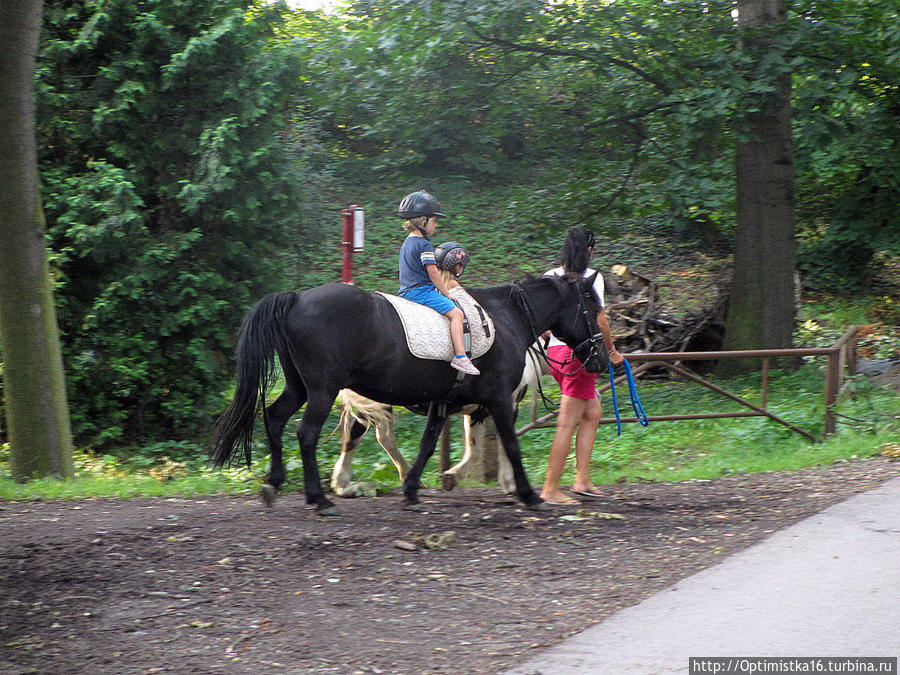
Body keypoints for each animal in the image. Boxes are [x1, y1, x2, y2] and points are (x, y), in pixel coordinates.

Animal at [210, 272, 604, 516]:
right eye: (593, 309)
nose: (600, 359)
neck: (504, 319)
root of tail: (296, 299)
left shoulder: (446, 402)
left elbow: (429, 444)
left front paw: (413, 490)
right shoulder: (498, 401)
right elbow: (510, 444)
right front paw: (527, 494)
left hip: (300, 387)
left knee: (276, 419)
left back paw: (275, 483)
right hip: (322, 389)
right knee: (308, 433)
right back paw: (320, 499)